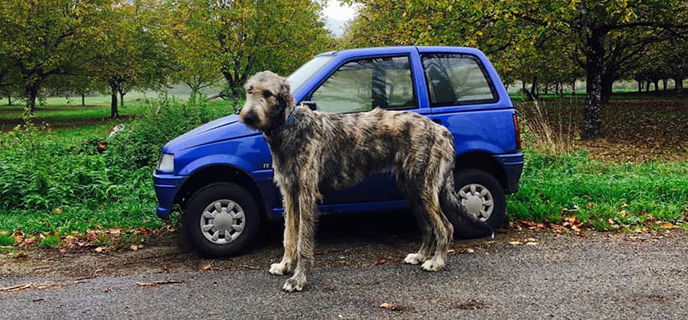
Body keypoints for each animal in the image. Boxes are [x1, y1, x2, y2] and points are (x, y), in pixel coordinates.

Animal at [239, 70, 492, 292]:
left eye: (268, 93)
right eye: (249, 90)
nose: (248, 116)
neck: (290, 126)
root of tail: (441, 130)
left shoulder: (307, 195)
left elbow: (303, 241)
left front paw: (298, 279)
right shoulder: (289, 194)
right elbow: (289, 235)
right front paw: (284, 266)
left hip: (423, 187)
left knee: (445, 226)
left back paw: (437, 261)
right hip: (411, 189)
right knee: (429, 226)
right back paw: (421, 255)